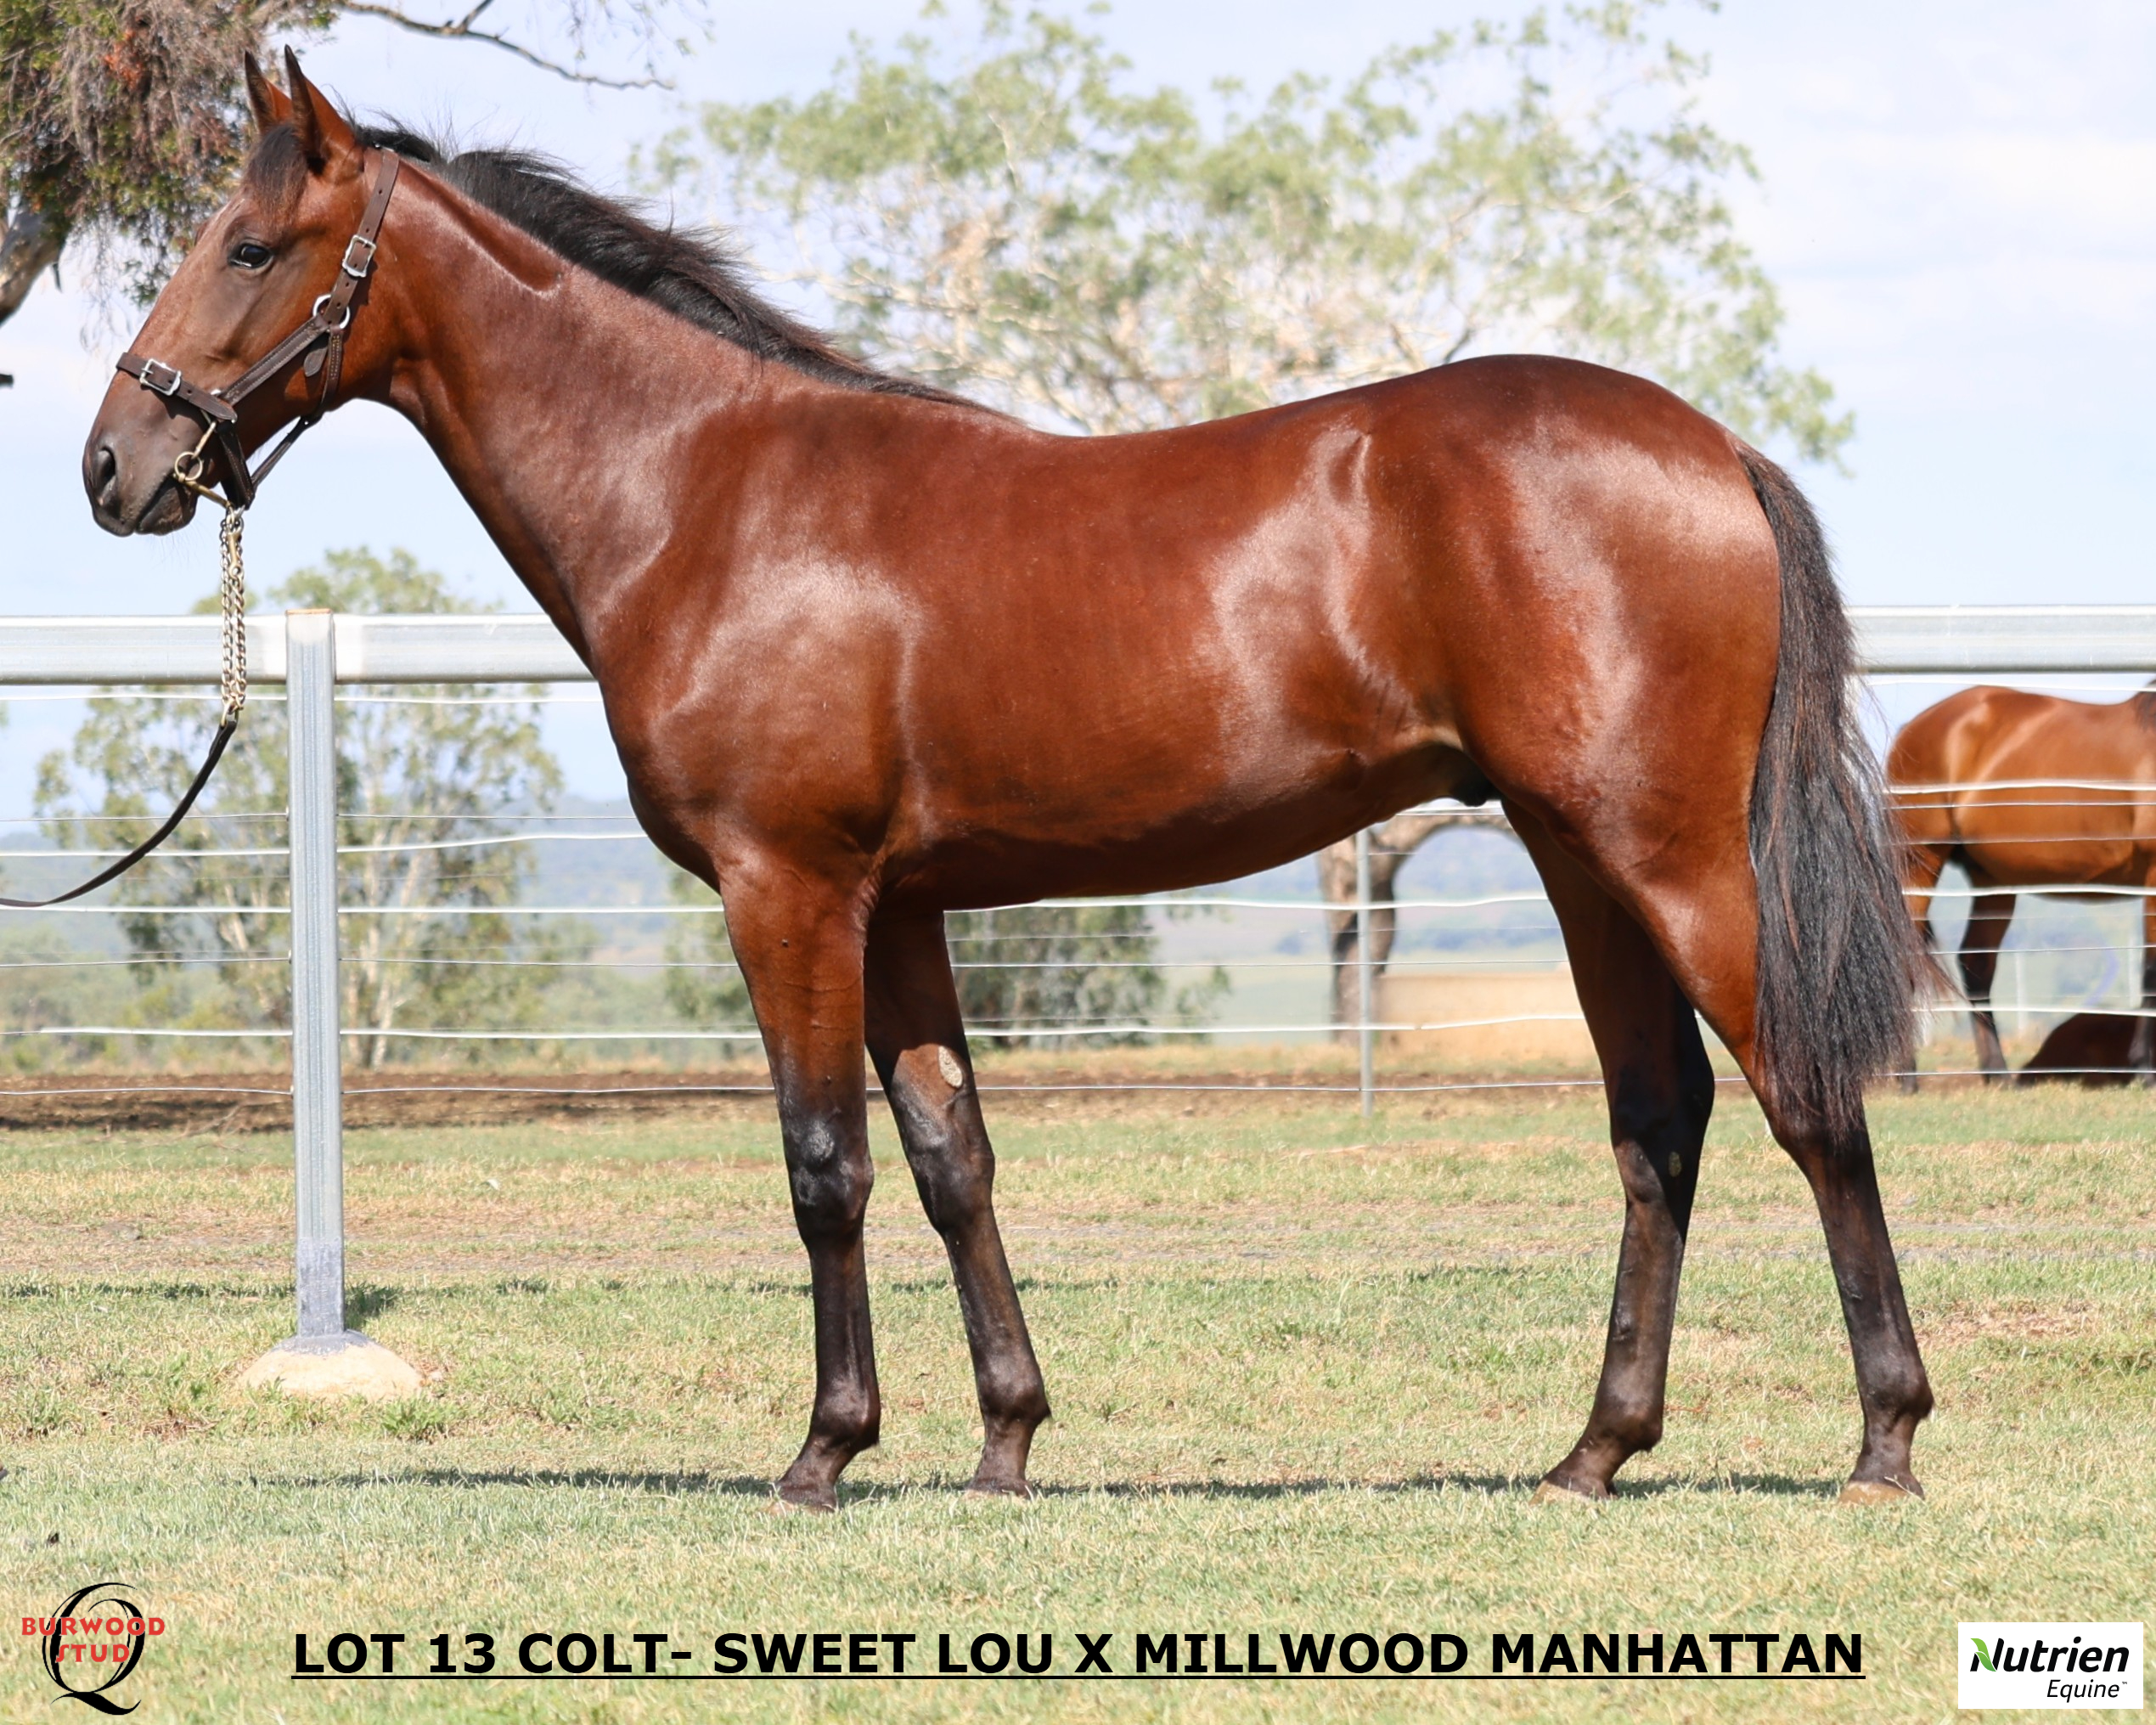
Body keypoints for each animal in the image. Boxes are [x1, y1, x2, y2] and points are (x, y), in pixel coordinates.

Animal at [80, 52, 1932, 1509]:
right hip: (1573, 854)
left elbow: (822, 1163)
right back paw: (1593, 1450)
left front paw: (823, 1449)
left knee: (1805, 1106)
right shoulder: (899, 909)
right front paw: (1002, 1438)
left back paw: (1882, 1440)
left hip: (1669, 857)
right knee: (1658, 1123)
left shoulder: (788, 889)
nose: (116, 467)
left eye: (251, 245)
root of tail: (1713, 450)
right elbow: (948, 1158)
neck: (707, 495)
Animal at [1890, 686, 2156, 1081]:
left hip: (1992, 881)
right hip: (1920, 861)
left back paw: (1997, 1074)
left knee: (1976, 964)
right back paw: (1908, 1079)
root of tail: (1913, 728)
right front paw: (2144, 1069)